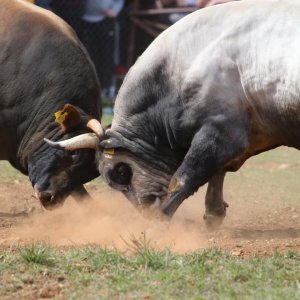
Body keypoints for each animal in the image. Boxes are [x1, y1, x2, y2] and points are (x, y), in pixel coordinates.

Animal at [47, 0, 300, 225]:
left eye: (119, 172)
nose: (146, 210)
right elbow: (218, 170)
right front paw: (213, 211)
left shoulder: (222, 130)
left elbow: (186, 176)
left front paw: (161, 219)